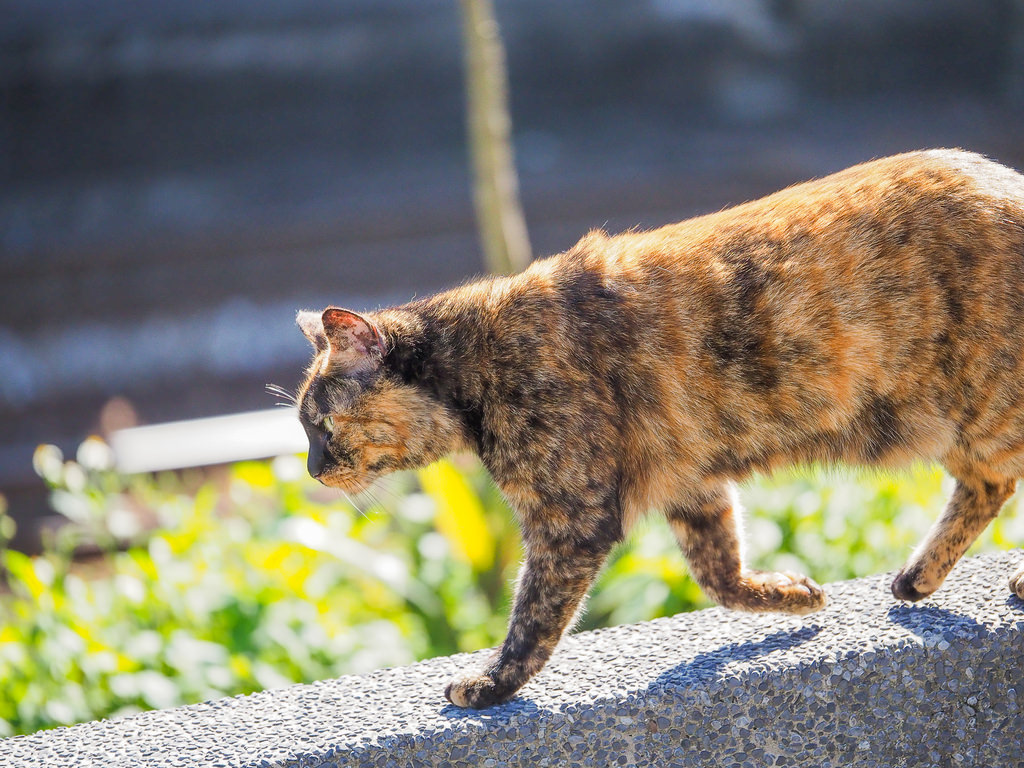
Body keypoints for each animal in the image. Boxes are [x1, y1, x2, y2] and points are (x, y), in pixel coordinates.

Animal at [292, 148, 1024, 708]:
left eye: (321, 424)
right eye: (303, 430)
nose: (311, 470)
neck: (478, 357)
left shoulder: (571, 521)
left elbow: (533, 619)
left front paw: (490, 685)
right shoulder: (693, 485)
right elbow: (721, 577)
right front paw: (791, 596)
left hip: (983, 412)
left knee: (997, 483)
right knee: (986, 488)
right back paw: (916, 580)